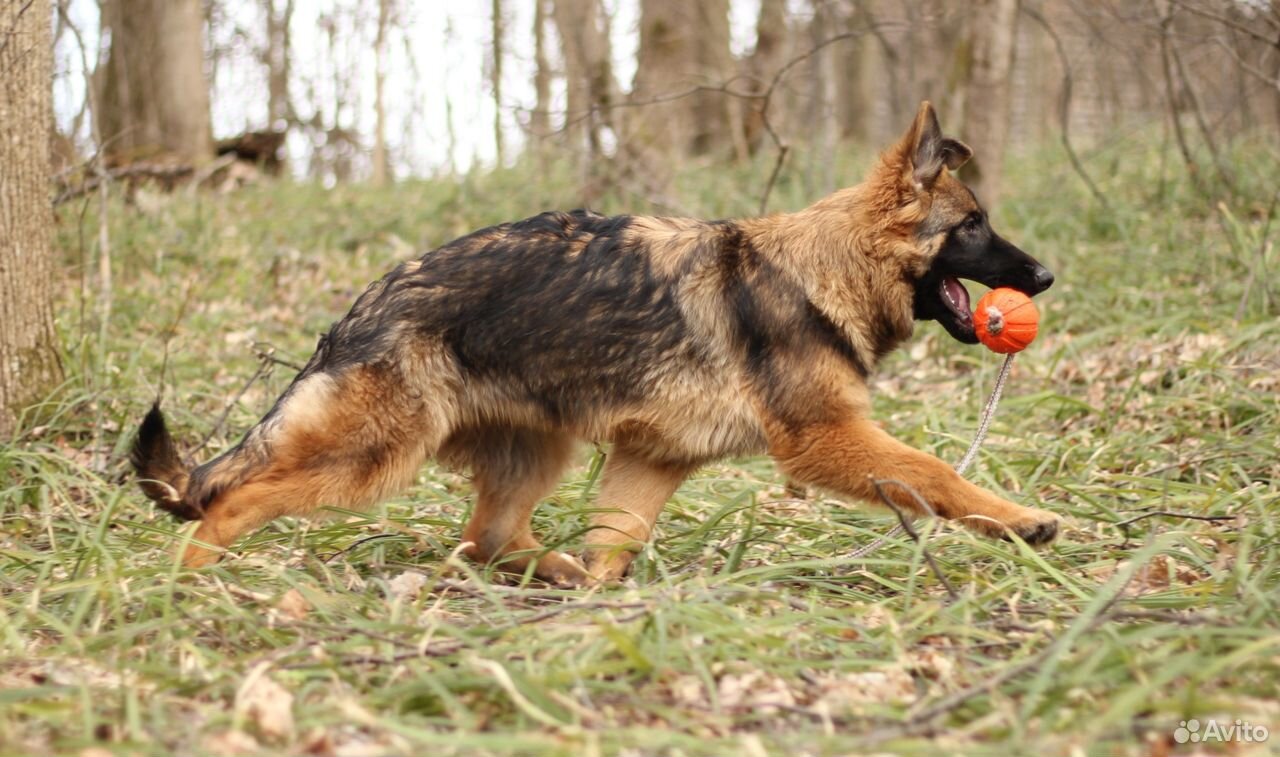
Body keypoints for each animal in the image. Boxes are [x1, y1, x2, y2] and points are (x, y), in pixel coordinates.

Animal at [135, 102, 1059, 586]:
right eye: (973, 226)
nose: (1046, 275)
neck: (823, 266)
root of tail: (364, 306)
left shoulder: (651, 460)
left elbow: (617, 538)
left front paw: (606, 601)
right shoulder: (827, 440)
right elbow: (937, 474)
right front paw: (1024, 520)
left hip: (540, 450)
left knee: (489, 535)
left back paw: (553, 571)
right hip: (373, 456)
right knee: (236, 499)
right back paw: (192, 573)